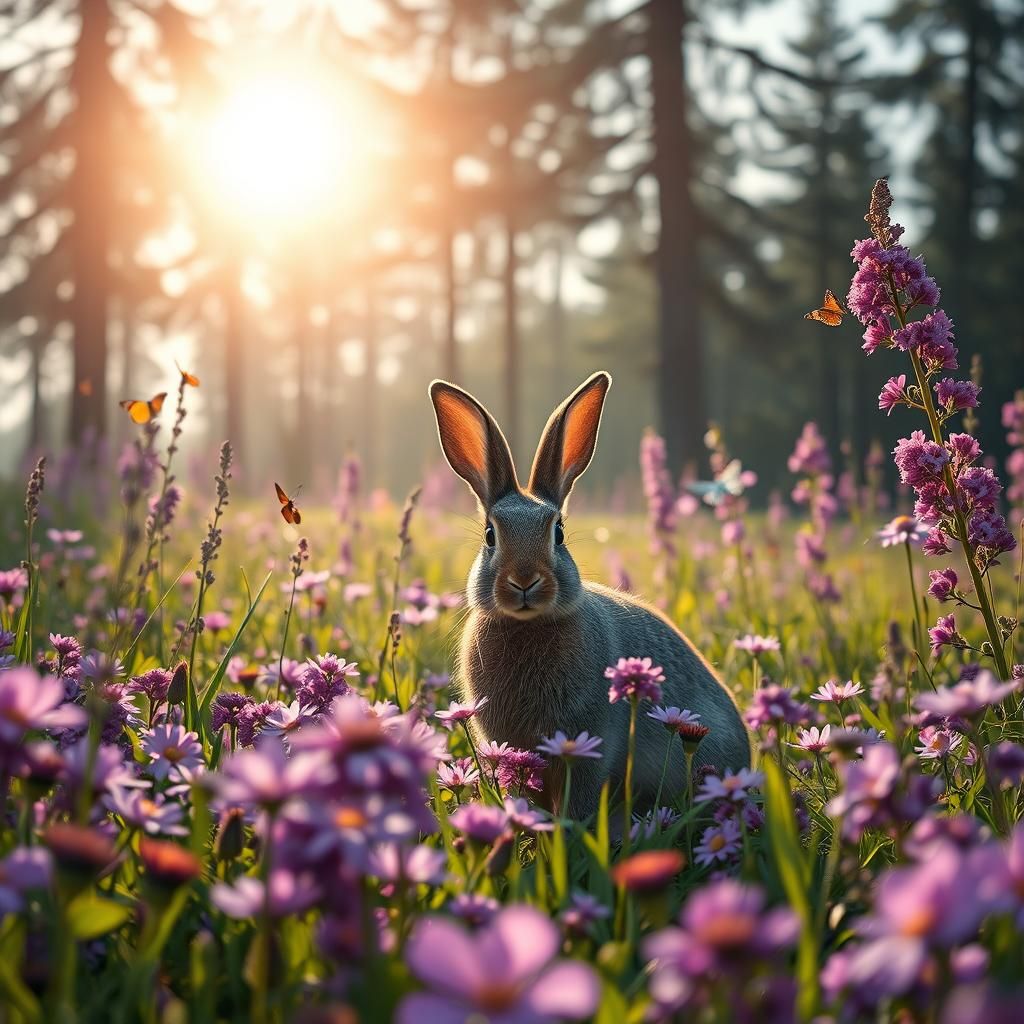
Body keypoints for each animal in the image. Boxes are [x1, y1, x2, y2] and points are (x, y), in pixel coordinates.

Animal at [428, 370, 751, 820]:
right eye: (490, 536)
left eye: (559, 533)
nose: (524, 580)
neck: (529, 625)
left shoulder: (590, 740)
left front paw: (566, 826)